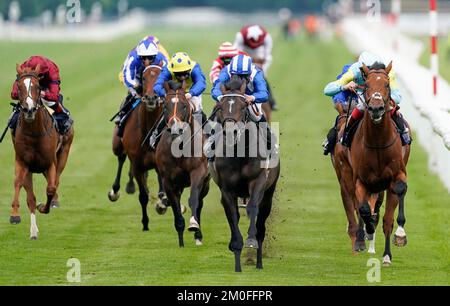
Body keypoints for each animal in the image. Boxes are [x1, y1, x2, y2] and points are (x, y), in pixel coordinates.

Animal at [10, 64, 74, 239]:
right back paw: (33, 231)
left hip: (64, 153)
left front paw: (44, 206)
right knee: (30, 195)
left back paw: (52, 202)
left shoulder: (49, 163)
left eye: (37, 87)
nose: (29, 109)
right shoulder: (23, 162)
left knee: (56, 182)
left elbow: (51, 188)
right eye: (19, 86)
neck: (34, 133)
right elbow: (20, 185)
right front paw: (15, 215)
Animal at [110, 63, 170, 231]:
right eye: (143, 77)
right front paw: (145, 223)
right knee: (121, 158)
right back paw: (116, 190)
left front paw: (162, 201)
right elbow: (142, 196)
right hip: (117, 144)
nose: (151, 98)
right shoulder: (137, 163)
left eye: (161, 76)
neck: (147, 130)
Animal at [156, 80, 210, 246]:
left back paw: (198, 234)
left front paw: (194, 225)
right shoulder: (168, 181)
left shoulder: (198, 172)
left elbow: (193, 199)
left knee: (200, 202)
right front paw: (180, 239)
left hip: (206, 183)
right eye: (165, 105)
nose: (175, 128)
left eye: (184, 105)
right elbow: (175, 206)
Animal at [209, 77, 280, 272]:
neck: (239, 154)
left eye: (242, 106)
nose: (231, 131)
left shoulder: (259, 182)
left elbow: (253, 208)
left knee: (261, 223)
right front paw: (236, 253)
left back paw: (258, 261)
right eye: (220, 107)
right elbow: (233, 215)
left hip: (269, 194)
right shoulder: (226, 190)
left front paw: (251, 240)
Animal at [348, 62, 412, 266]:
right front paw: (367, 230)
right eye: (366, 85)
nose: (376, 108)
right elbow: (364, 209)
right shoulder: (361, 180)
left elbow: (390, 216)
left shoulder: (397, 175)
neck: (377, 142)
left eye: (387, 84)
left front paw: (396, 240)